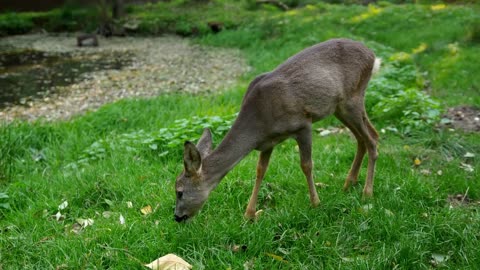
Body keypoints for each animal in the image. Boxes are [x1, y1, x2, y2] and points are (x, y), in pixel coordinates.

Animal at [174, 39, 380, 223]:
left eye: (179, 192)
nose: (177, 217)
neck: (259, 122)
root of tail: (372, 55)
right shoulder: (267, 142)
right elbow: (260, 170)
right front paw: (250, 214)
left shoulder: (303, 124)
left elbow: (306, 165)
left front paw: (316, 203)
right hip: (340, 107)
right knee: (364, 137)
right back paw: (348, 184)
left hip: (351, 99)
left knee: (371, 139)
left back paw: (367, 193)